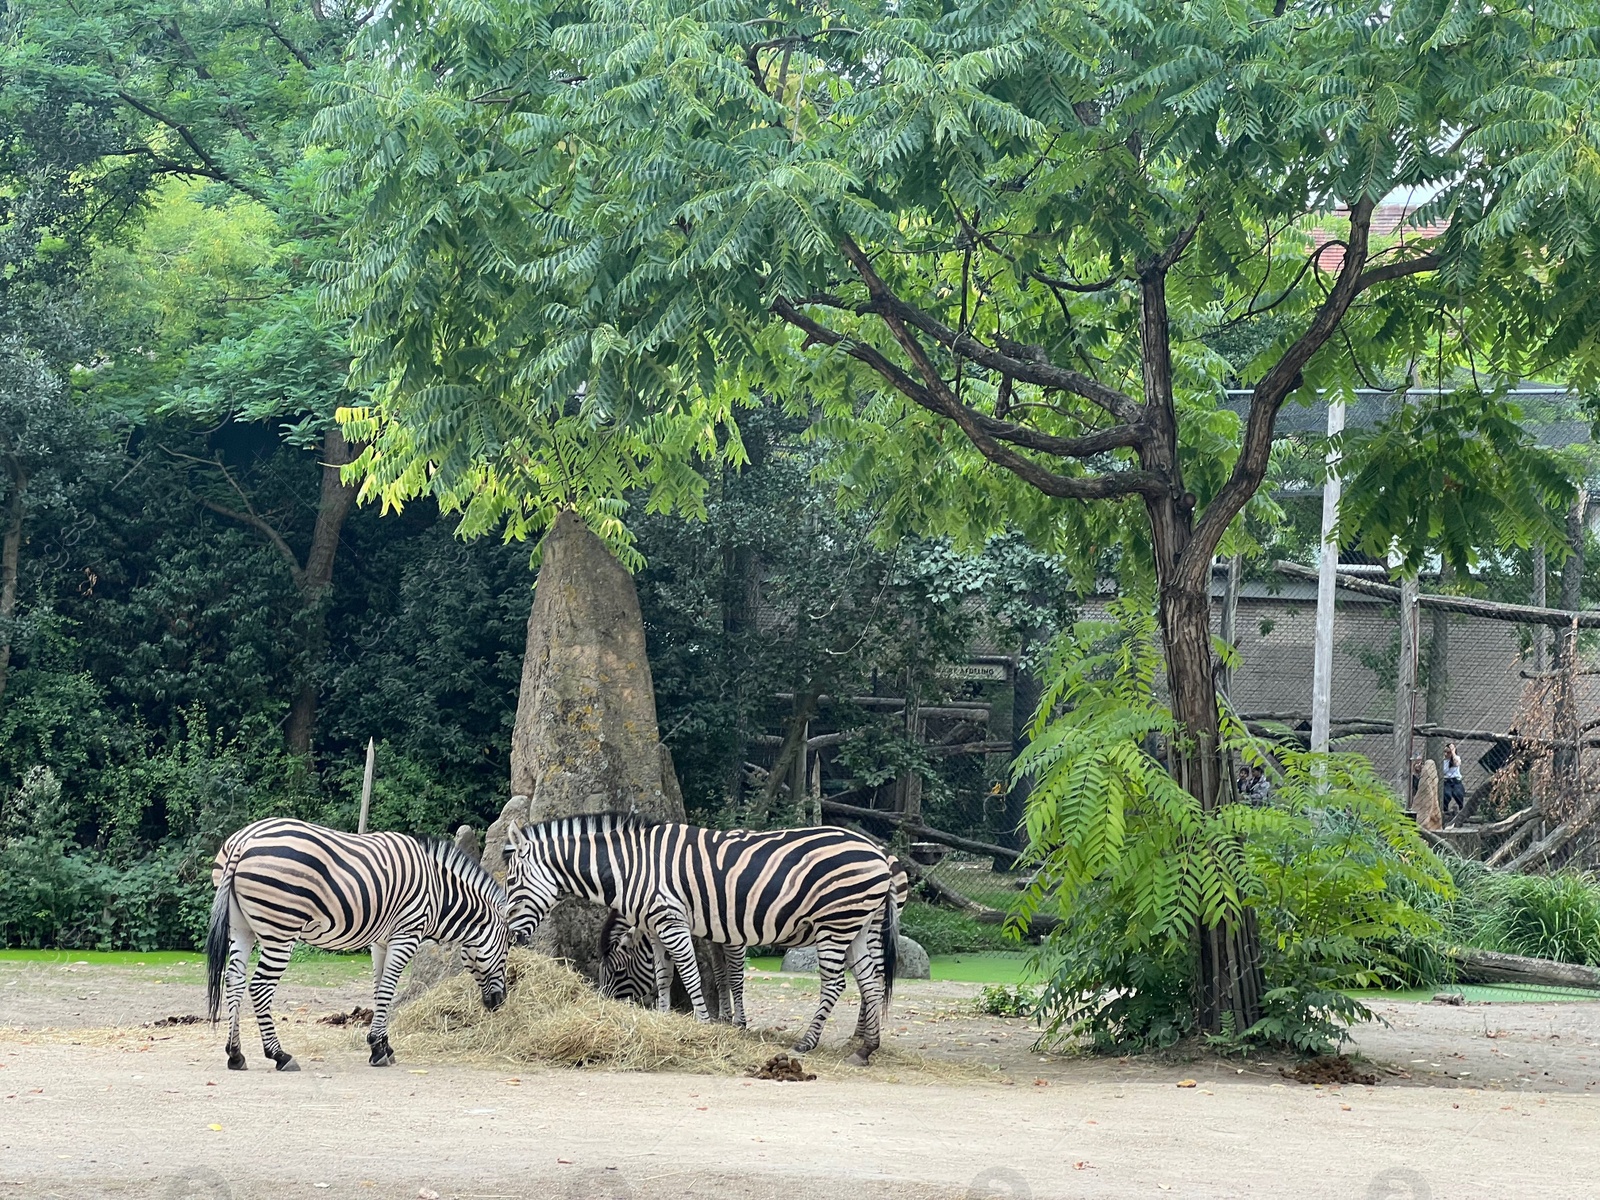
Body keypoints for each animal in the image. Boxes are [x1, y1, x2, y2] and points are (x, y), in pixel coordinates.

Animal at [206, 825, 505, 1075]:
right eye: (507, 950)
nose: (499, 1003)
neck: (439, 893)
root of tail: (243, 841)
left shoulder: (381, 941)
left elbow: (380, 990)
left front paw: (383, 1046)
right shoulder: (406, 935)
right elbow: (387, 990)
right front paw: (377, 1048)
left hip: (241, 928)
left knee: (233, 980)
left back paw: (235, 1054)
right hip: (280, 929)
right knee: (259, 986)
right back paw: (280, 1055)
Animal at [502, 819, 902, 1062]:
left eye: (510, 883)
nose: (510, 934)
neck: (631, 869)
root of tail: (878, 852)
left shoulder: (674, 921)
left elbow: (693, 975)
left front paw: (706, 1025)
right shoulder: (659, 927)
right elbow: (665, 976)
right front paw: (666, 1020)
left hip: (835, 923)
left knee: (835, 984)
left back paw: (807, 1042)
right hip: (858, 925)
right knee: (870, 981)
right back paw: (865, 1048)